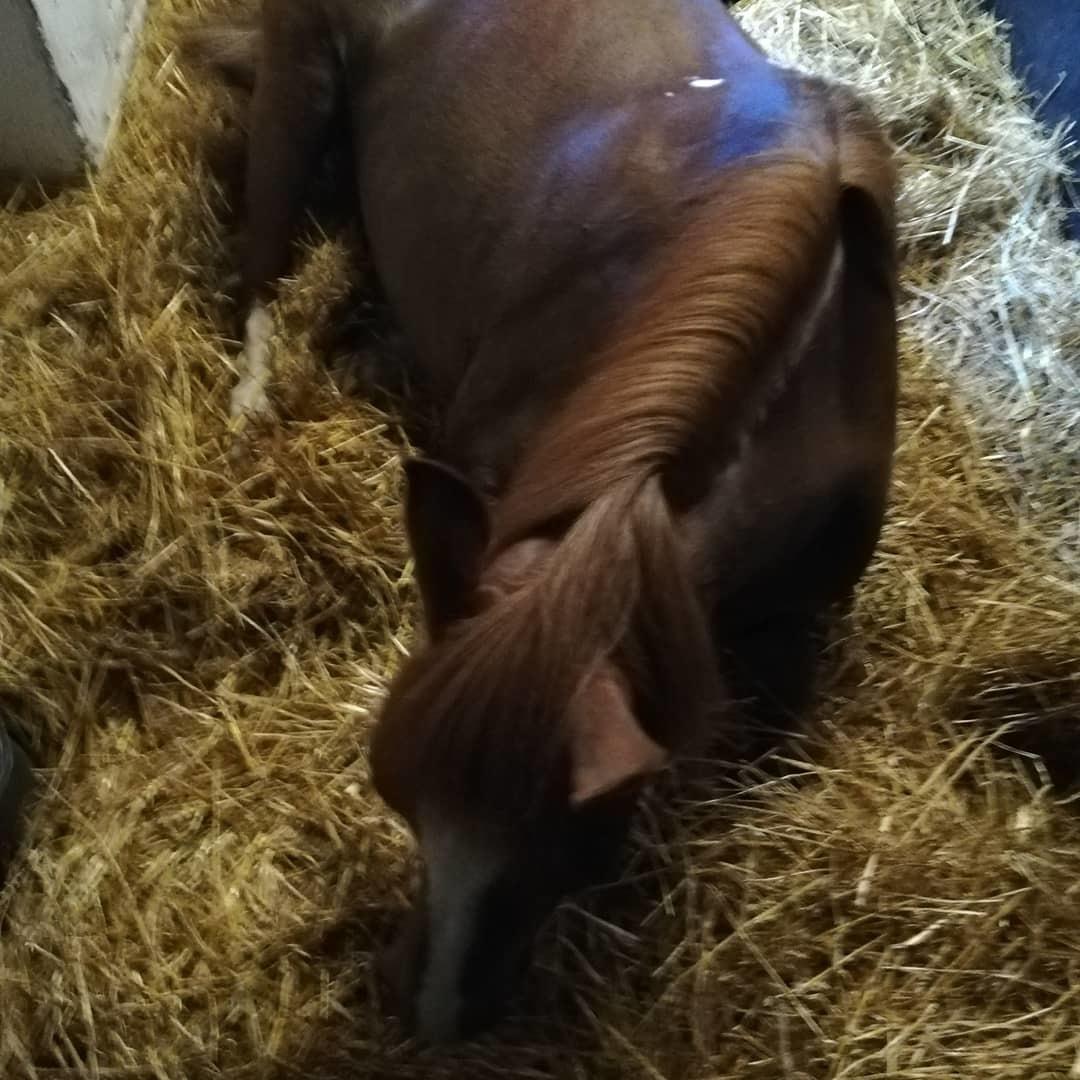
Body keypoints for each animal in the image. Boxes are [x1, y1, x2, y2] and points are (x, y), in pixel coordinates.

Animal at [186, 0, 898, 1044]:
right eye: (399, 800)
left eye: (584, 836)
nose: (429, 1010)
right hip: (296, 82)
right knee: (262, 273)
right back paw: (254, 398)